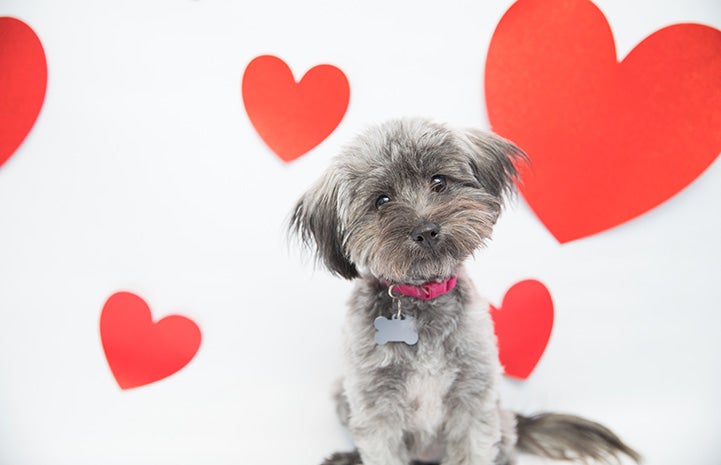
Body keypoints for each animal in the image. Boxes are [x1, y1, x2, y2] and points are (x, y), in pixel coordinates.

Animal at [290, 118, 640, 464]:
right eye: (381, 200)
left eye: (439, 181)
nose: (426, 230)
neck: (422, 297)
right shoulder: (376, 412)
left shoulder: (474, 405)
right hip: (343, 394)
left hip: (499, 420)